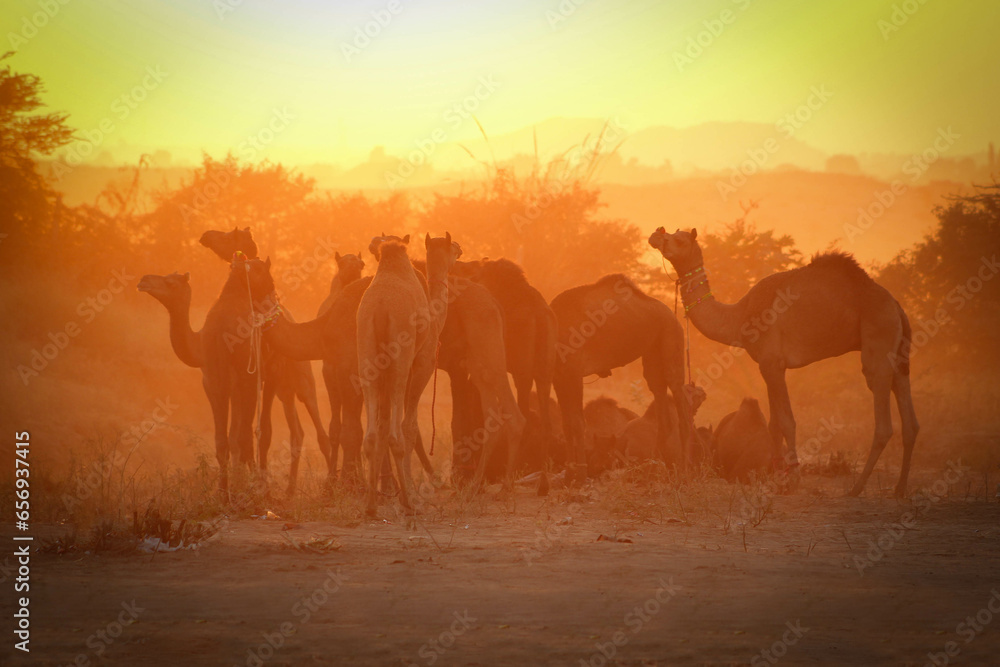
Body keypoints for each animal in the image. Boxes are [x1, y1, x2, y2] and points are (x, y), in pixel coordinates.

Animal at [550, 274, 693, 482]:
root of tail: (673, 315)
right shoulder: (558, 377)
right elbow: (566, 424)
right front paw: (569, 475)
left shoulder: (573, 374)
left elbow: (577, 424)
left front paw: (581, 477)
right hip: (652, 352)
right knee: (659, 396)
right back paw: (658, 467)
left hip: (671, 338)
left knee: (679, 399)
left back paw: (683, 470)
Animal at [649, 228, 919, 497]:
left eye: (680, 239)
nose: (657, 234)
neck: (739, 316)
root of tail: (897, 307)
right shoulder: (768, 365)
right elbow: (774, 424)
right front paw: (776, 480)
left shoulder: (772, 362)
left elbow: (787, 421)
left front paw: (793, 480)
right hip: (900, 354)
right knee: (910, 419)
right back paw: (900, 489)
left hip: (879, 336)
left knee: (883, 421)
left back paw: (857, 488)